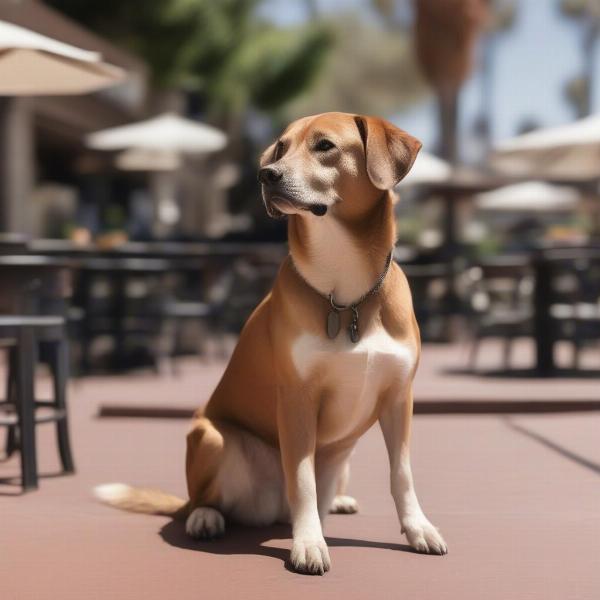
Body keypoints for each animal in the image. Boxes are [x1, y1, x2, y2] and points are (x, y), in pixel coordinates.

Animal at [96, 112, 448, 576]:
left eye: (324, 146)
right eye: (280, 148)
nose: (266, 175)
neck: (347, 291)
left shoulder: (398, 397)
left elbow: (402, 474)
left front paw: (418, 528)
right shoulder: (297, 398)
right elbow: (301, 478)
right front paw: (310, 543)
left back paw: (337, 501)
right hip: (212, 437)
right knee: (203, 500)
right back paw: (205, 517)